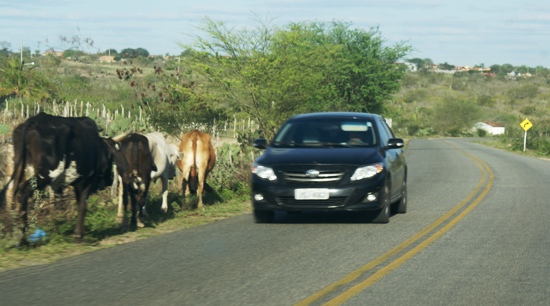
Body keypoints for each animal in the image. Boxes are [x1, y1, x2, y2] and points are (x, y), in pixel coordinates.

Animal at [0, 112, 129, 244]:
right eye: (111, 159)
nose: (109, 180)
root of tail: (33, 120)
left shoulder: (78, 183)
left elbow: (79, 204)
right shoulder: (88, 180)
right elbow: (83, 206)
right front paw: (79, 235)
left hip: (22, 170)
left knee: (13, 194)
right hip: (45, 175)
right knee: (23, 192)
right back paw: (22, 238)